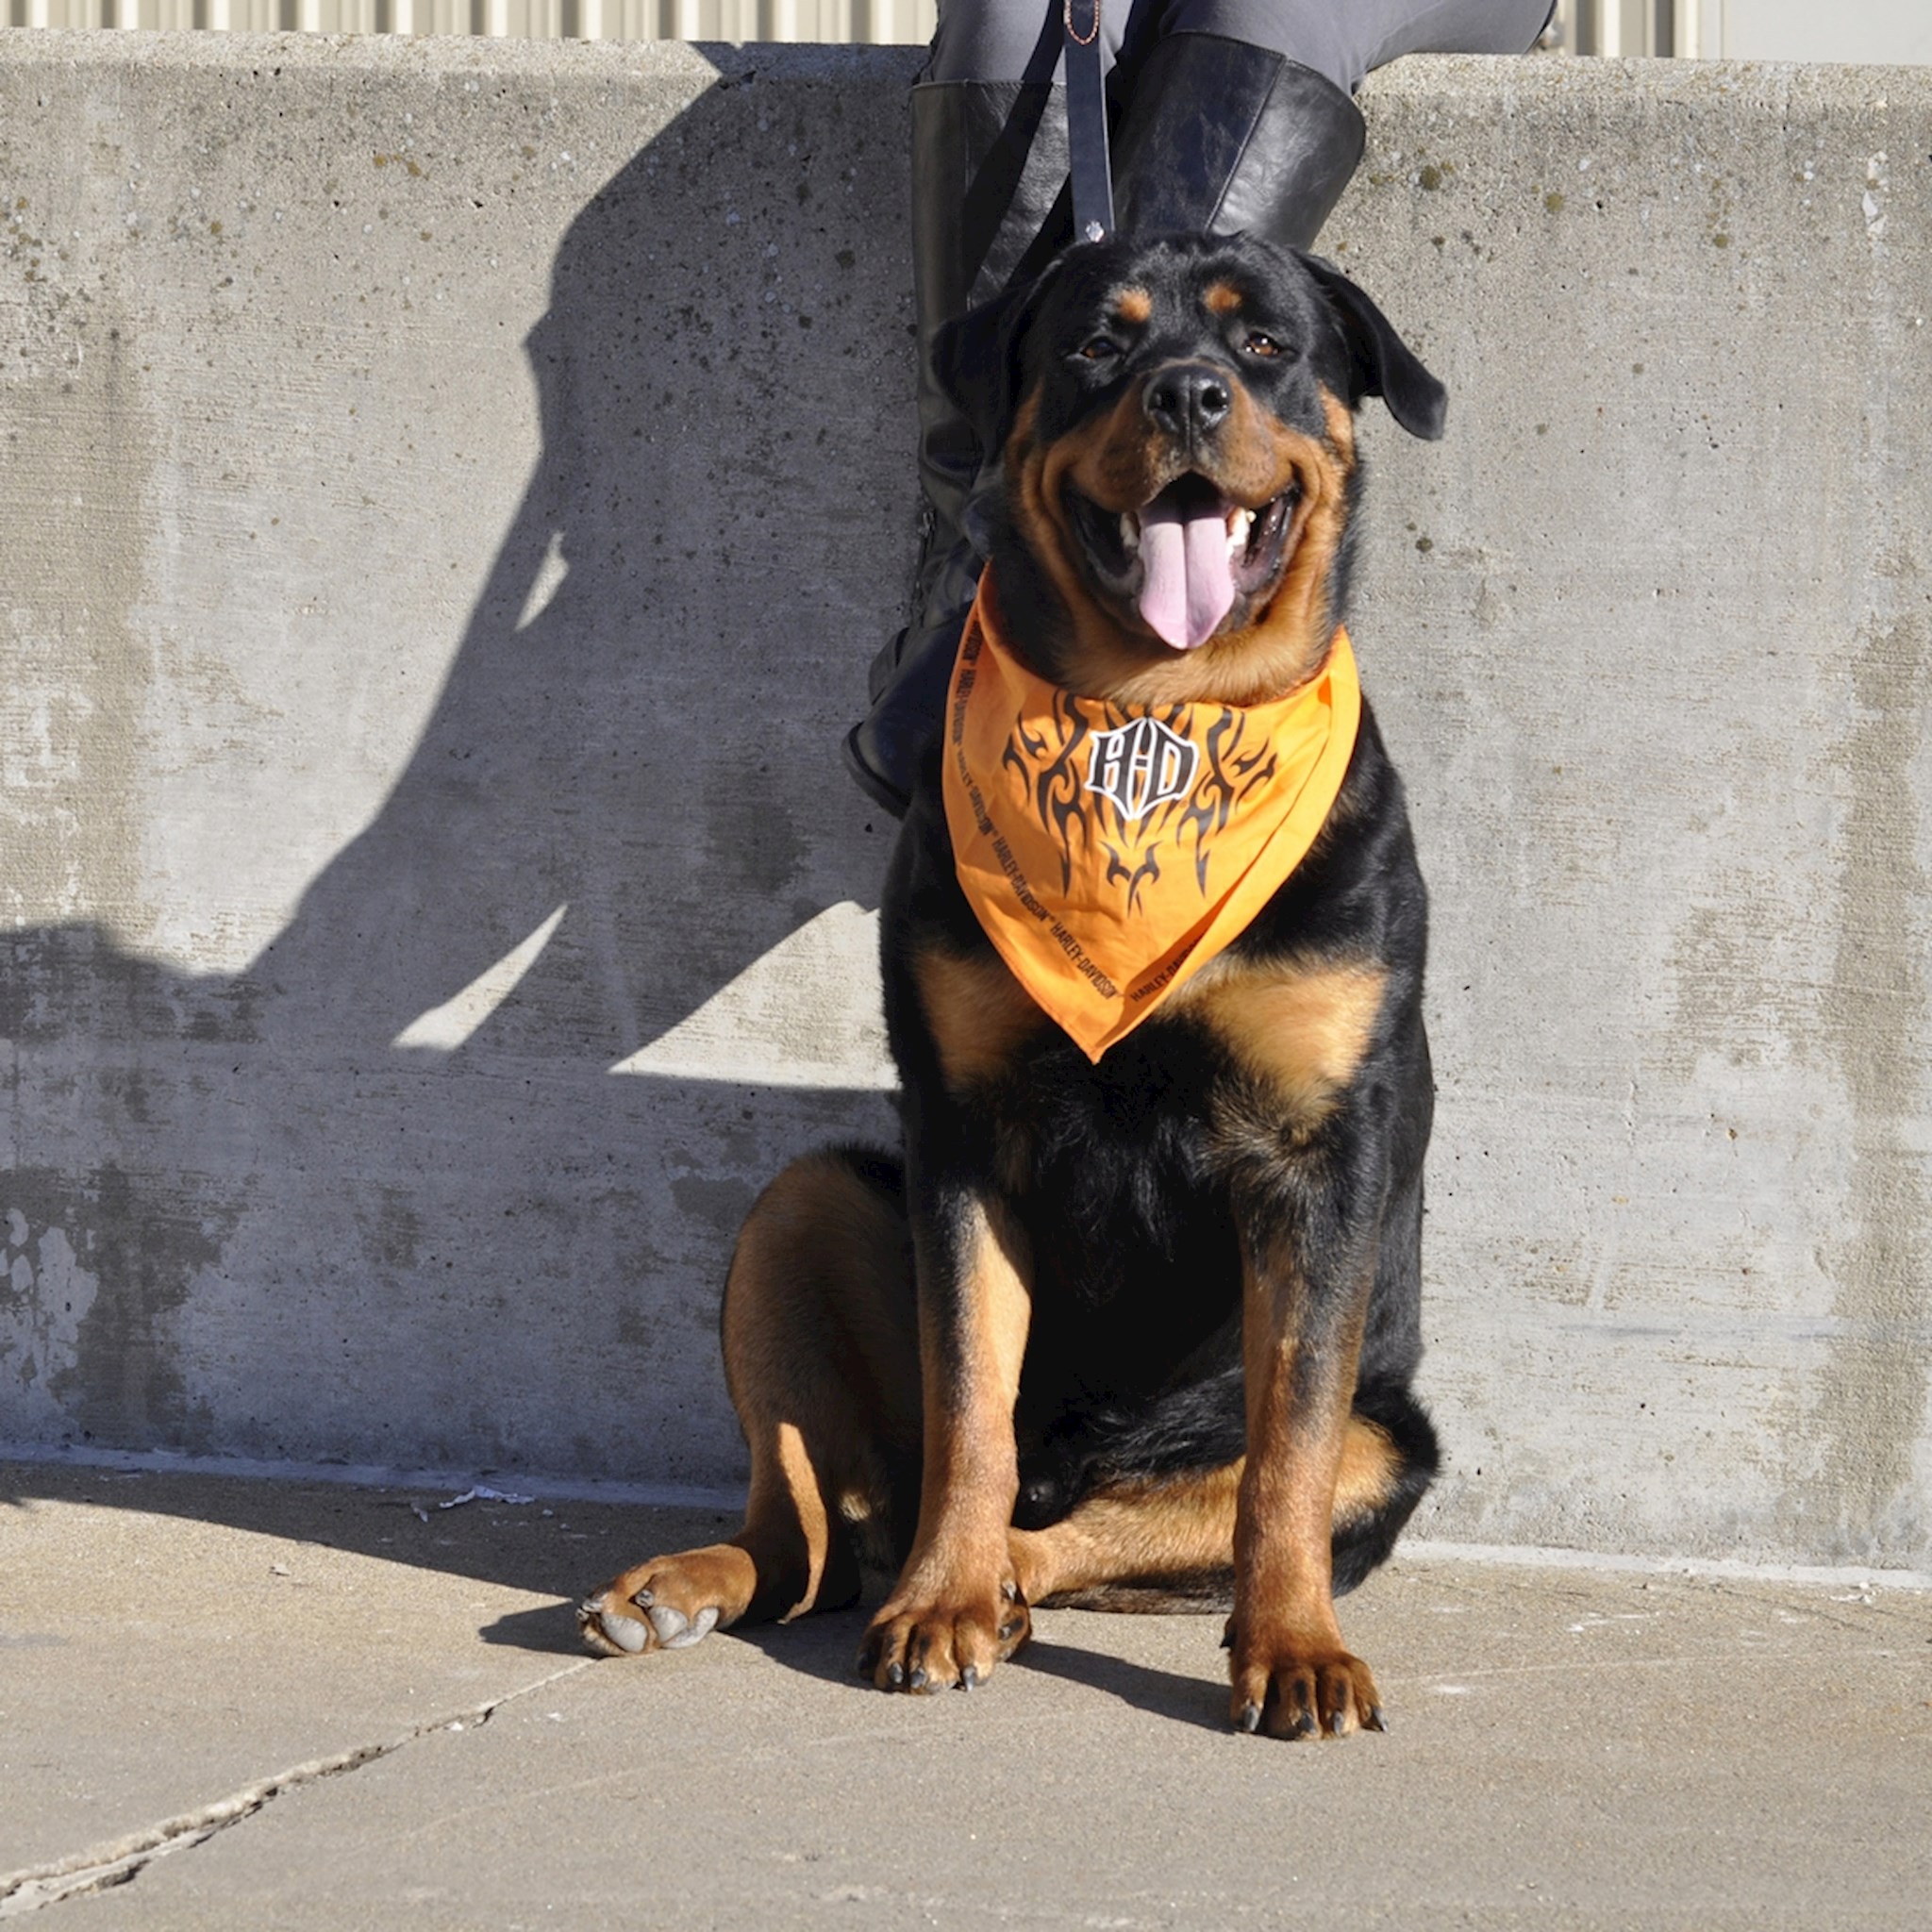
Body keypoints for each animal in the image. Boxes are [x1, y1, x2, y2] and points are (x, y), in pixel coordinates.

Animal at [583, 233, 1453, 1746]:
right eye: (1098, 344)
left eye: (1267, 346)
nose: (1187, 393)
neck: (1154, 724)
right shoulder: (965, 1132)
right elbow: (970, 1408)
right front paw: (938, 1602)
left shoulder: (1314, 1158)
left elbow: (1283, 1459)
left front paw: (1294, 1648)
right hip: (805, 1205)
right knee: (821, 1523)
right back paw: (740, 1582)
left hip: (1385, 1434)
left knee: (1119, 1518)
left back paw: (1017, 1590)